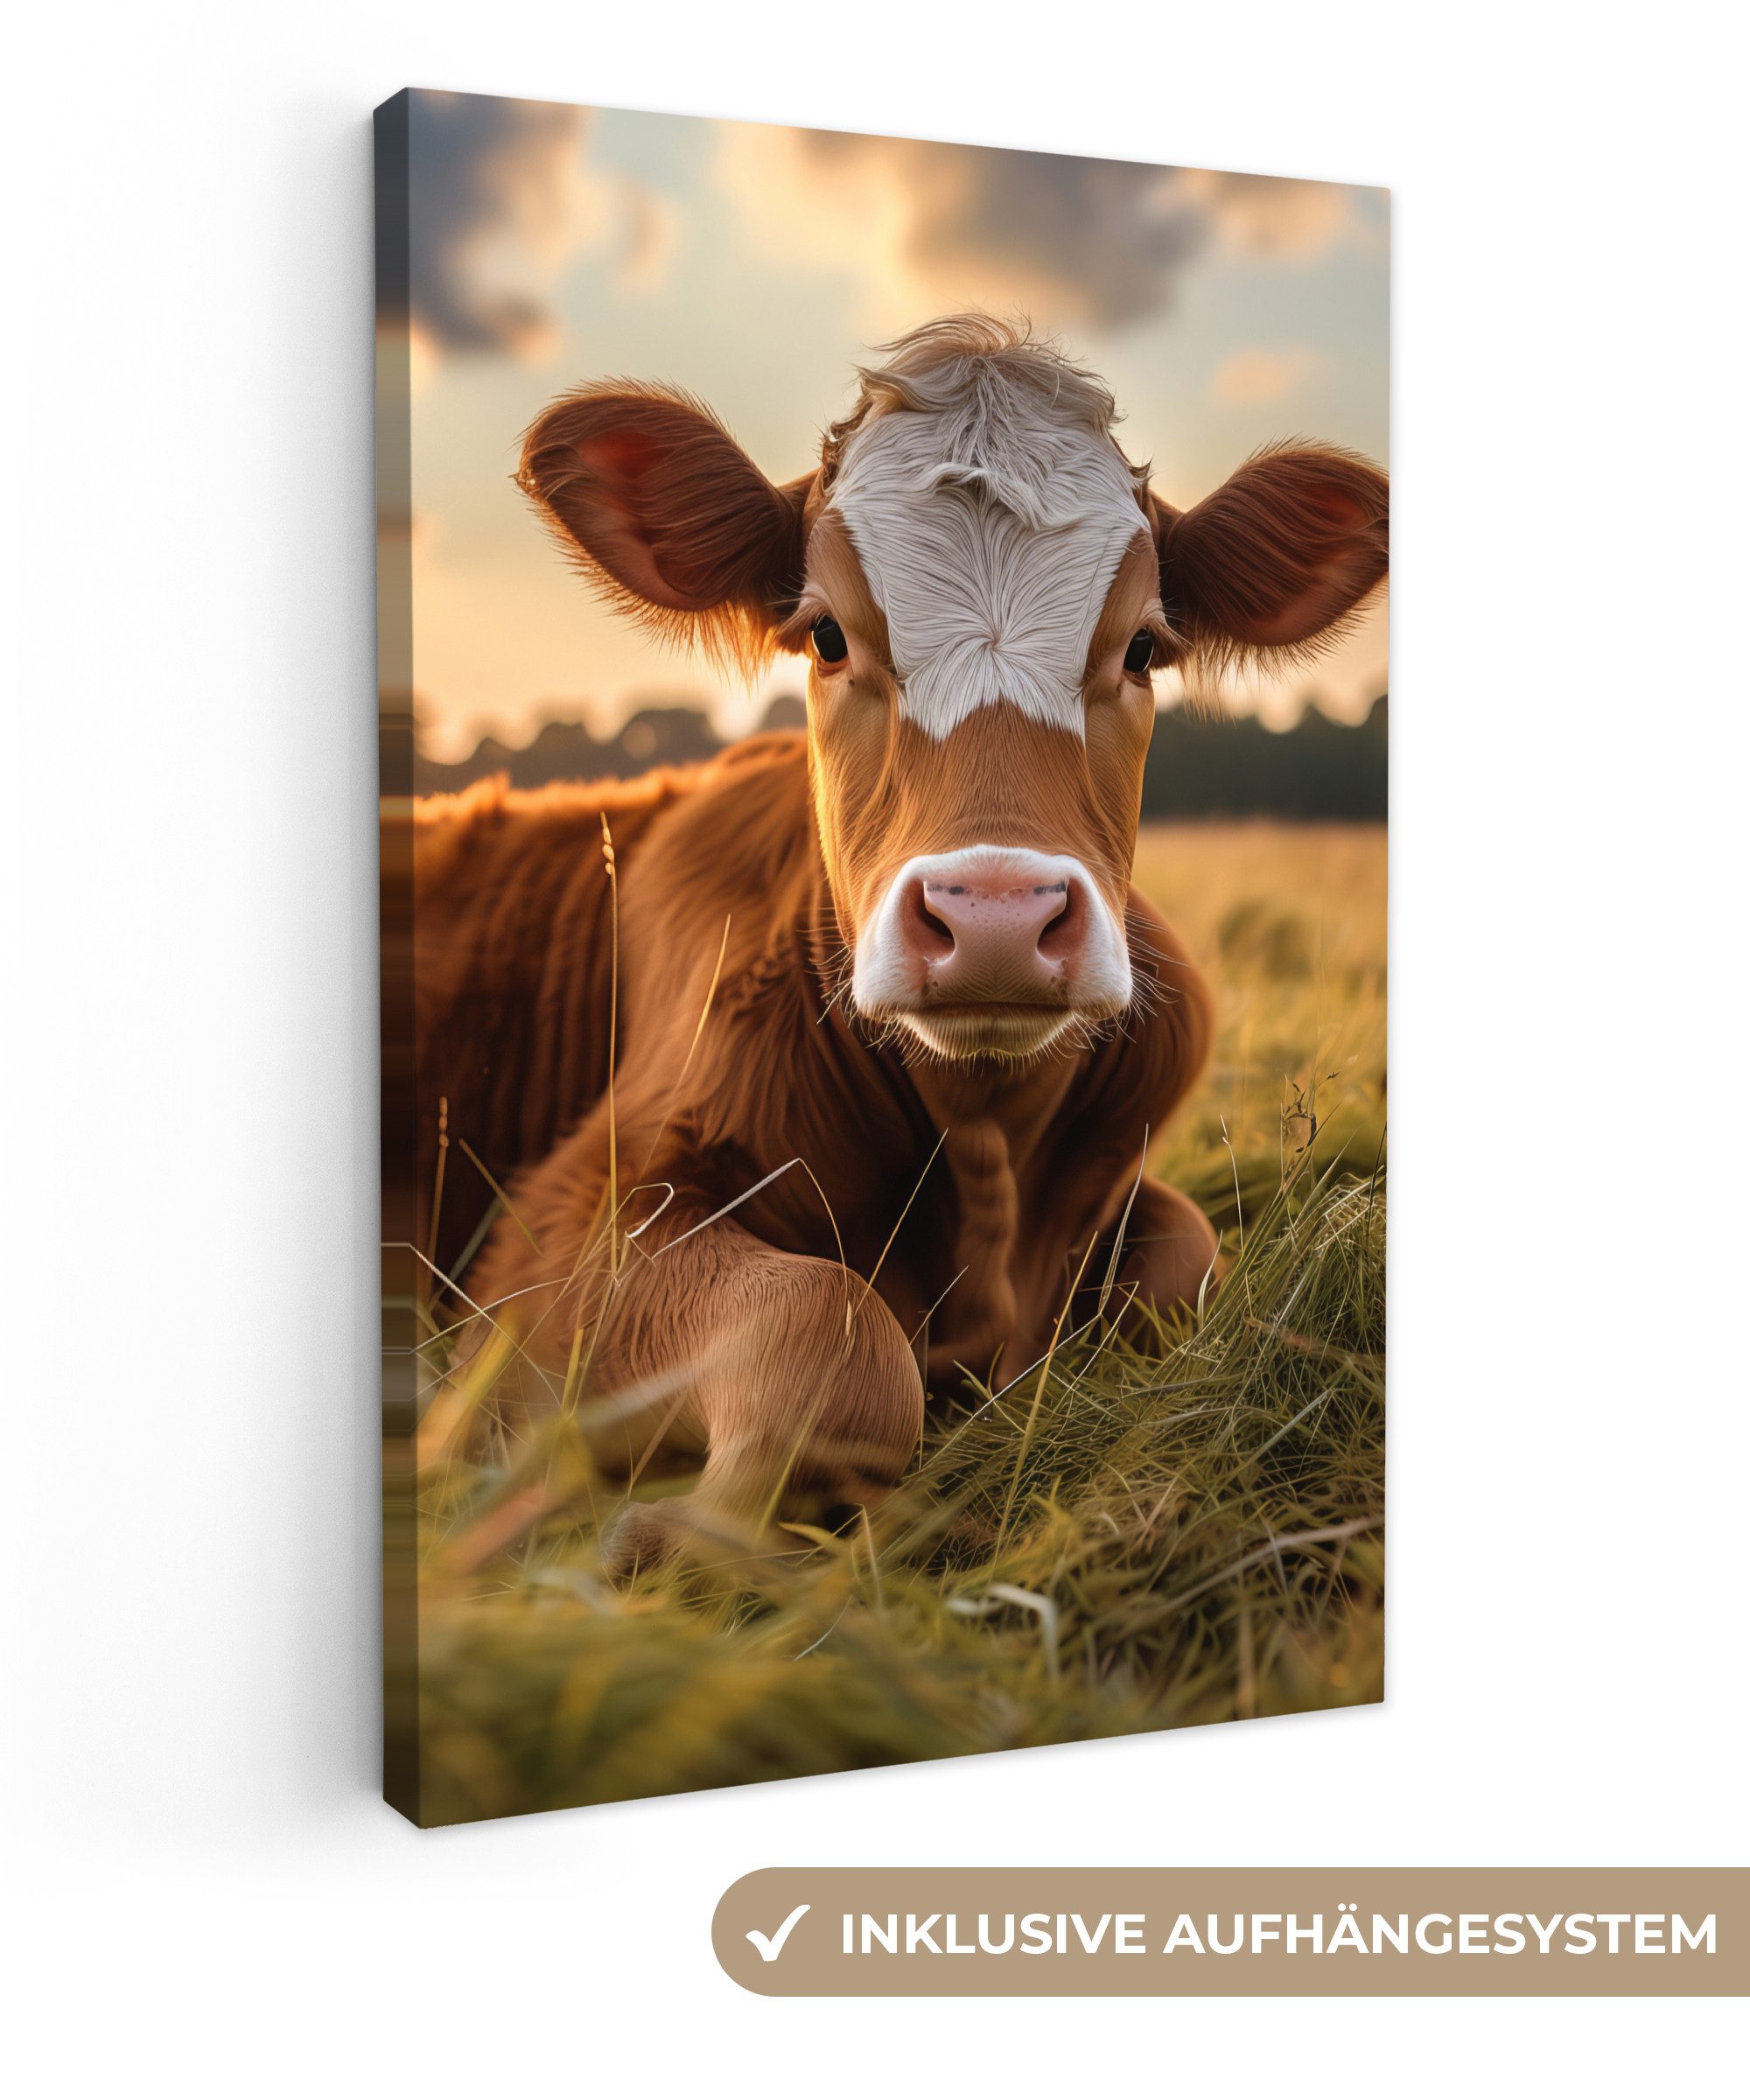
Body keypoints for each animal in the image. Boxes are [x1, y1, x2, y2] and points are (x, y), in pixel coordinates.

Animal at [413, 314, 1387, 1575]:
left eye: (1142, 649)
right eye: (826, 635)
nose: (996, 917)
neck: (981, 1157)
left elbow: (1185, 1266)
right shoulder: (552, 1236)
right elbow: (833, 1332)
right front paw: (670, 1538)